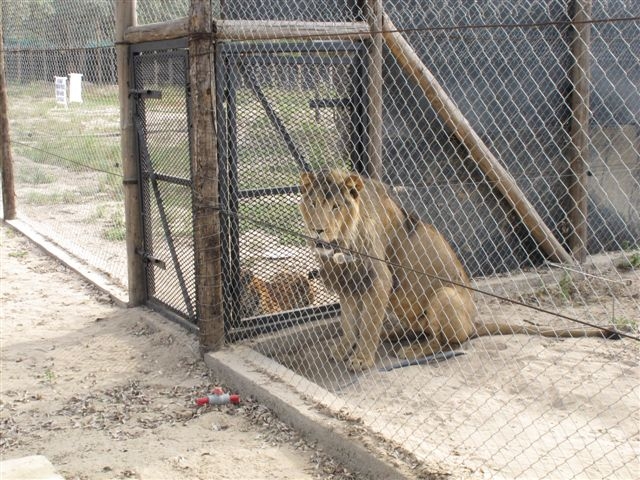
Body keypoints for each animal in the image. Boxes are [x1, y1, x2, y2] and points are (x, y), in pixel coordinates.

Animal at [300, 169, 620, 372]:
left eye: (335, 206)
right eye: (313, 203)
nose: (318, 230)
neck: (341, 244)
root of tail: (473, 323)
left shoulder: (378, 279)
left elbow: (366, 326)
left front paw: (361, 359)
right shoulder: (349, 285)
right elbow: (349, 322)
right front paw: (344, 349)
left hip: (445, 294)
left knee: (445, 341)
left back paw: (411, 349)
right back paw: (394, 335)